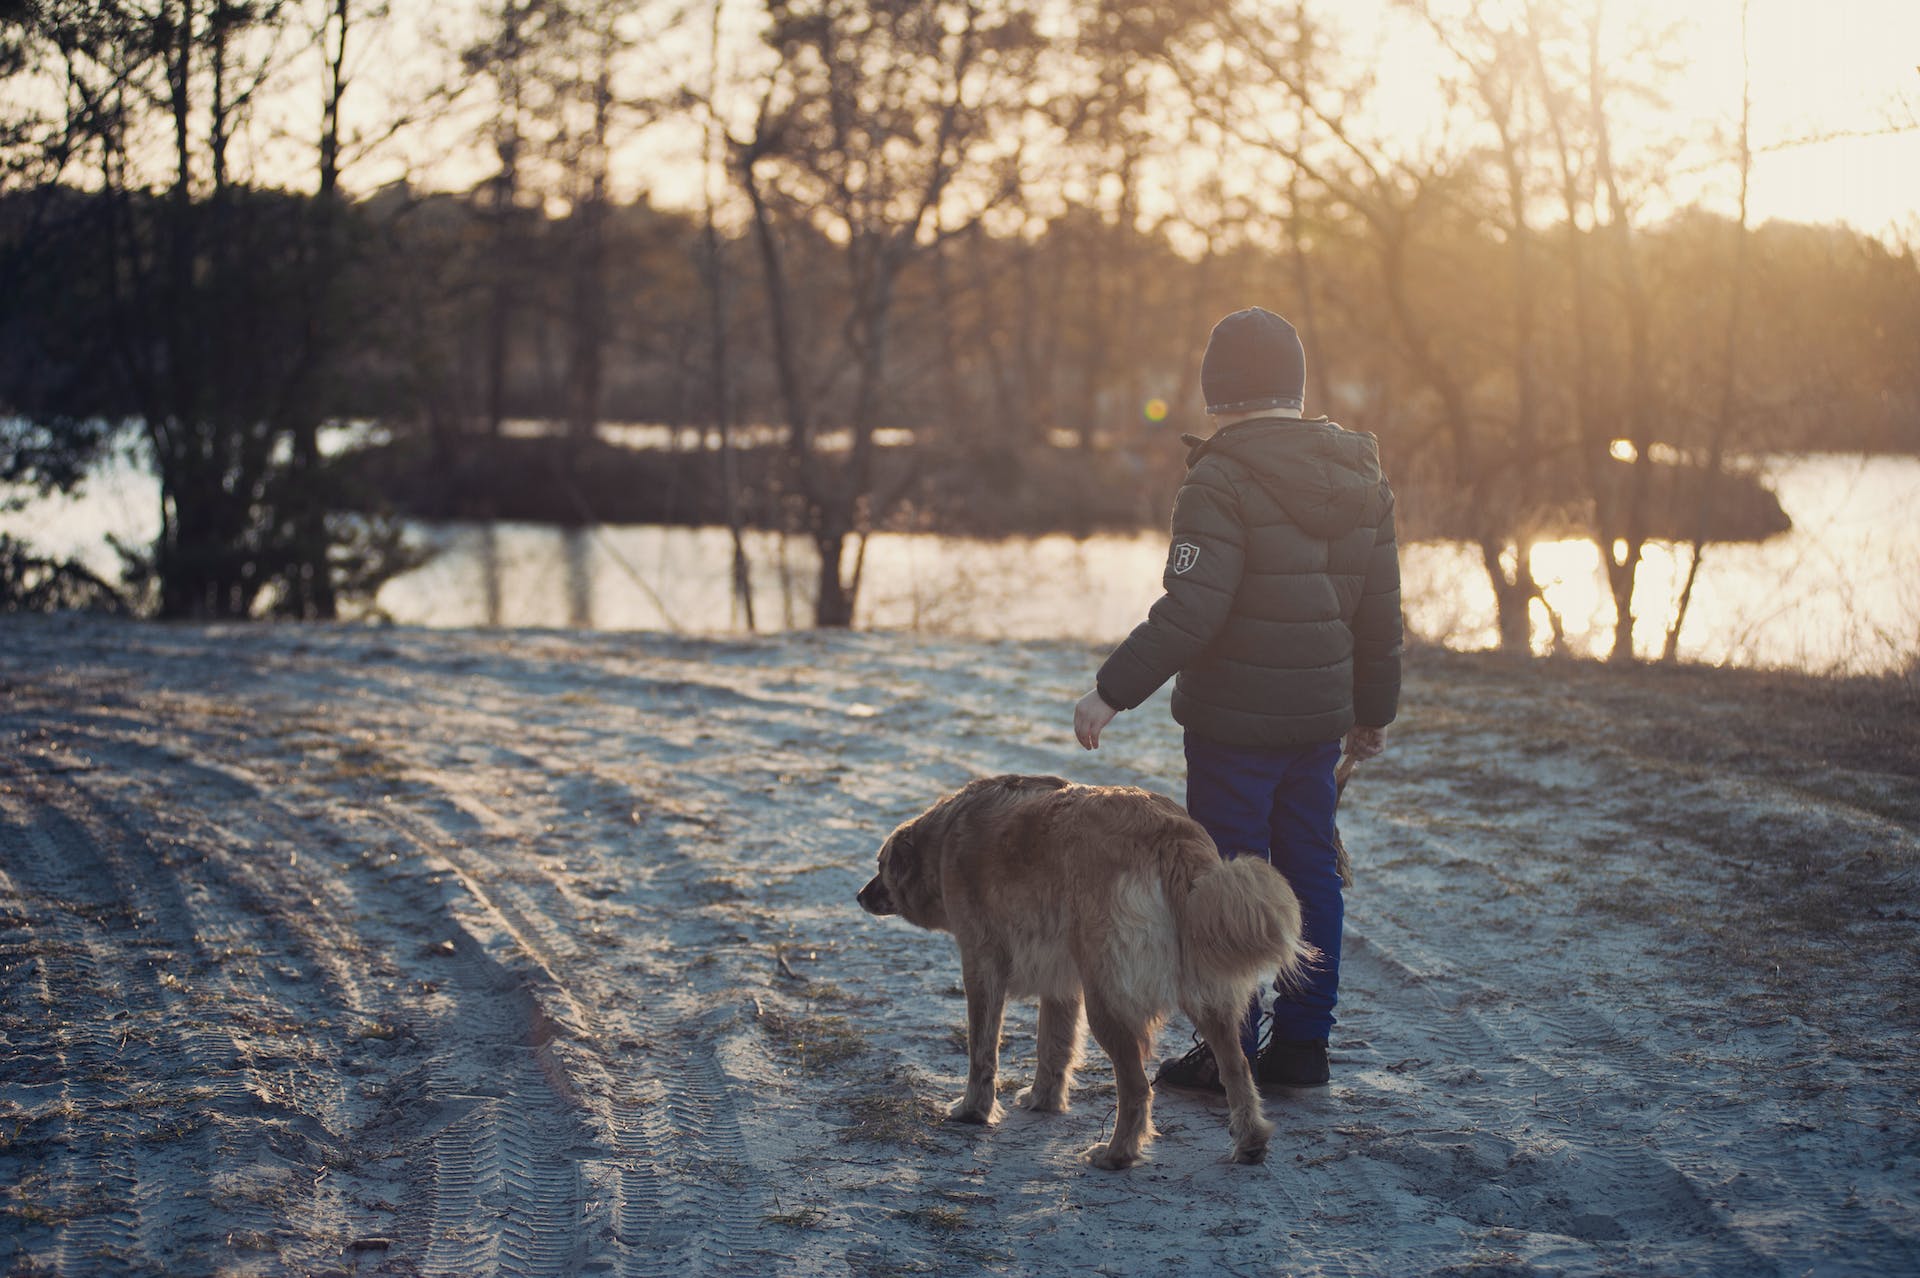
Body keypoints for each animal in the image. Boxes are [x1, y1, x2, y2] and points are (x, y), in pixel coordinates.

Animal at [864, 767, 1313, 1166]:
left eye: (881, 866)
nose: (859, 896)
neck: (946, 838)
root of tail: (1169, 832)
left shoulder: (981, 963)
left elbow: (983, 1050)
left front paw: (973, 1110)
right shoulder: (1061, 983)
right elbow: (1053, 1047)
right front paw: (1043, 1100)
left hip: (1108, 1000)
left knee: (1137, 1088)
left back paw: (1117, 1154)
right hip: (1204, 996)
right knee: (1237, 1069)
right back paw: (1249, 1142)